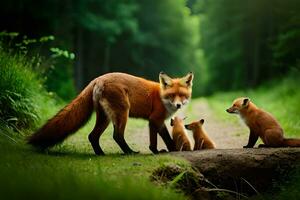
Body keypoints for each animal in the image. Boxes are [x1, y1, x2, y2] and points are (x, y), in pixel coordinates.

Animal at [27, 72, 192, 155]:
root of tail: (97, 79)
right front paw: (160, 151)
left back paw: (100, 153)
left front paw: (166, 149)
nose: (178, 105)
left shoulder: (157, 122)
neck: (161, 97)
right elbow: (159, 139)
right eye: (172, 95)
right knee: (117, 135)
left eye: (182, 95)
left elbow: (162, 138)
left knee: (92, 136)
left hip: (105, 118)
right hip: (122, 113)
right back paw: (129, 152)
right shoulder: (154, 119)